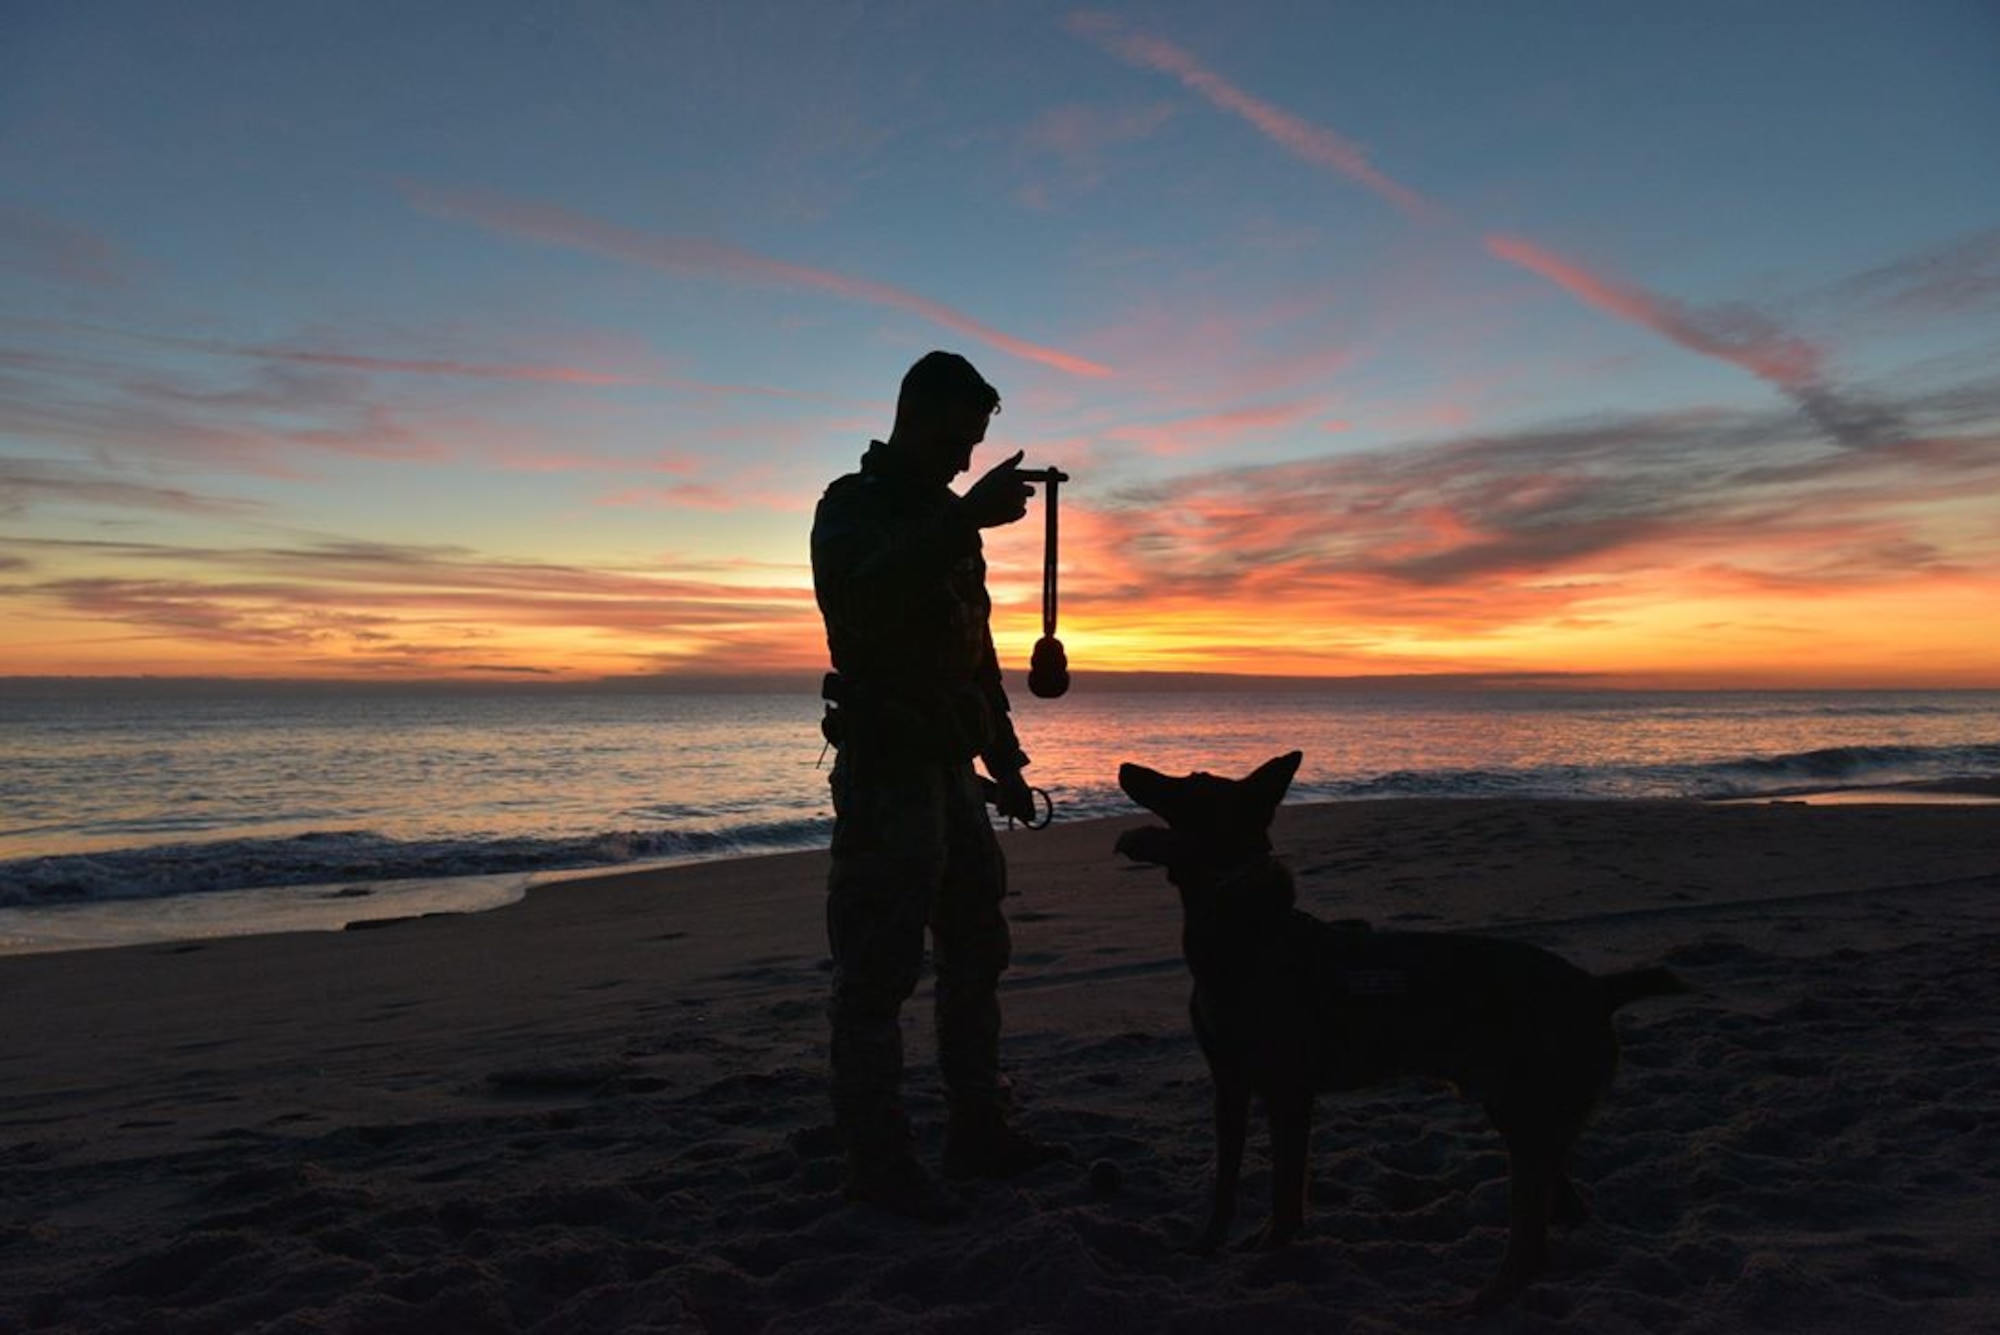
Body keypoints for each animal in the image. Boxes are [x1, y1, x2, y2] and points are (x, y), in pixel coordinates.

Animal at [1120, 751, 1680, 1311]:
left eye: (1190, 782)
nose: (1125, 766)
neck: (1239, 920)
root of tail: (1597, 987)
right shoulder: (1230, 1086)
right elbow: (1225, 1180)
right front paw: (1207, 1245)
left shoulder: (1288, 1094)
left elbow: (1284, 1193)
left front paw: (1268, 1254)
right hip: (1522, 1113)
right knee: (1559, 1209)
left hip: (1531, 1117)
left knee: (1530, 1238)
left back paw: (1481, 1301)